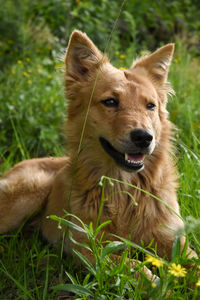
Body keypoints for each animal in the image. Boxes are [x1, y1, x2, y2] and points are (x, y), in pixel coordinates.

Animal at [0, 29, 197, 278]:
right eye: (110, 102)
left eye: (150, 106)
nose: (144, 137)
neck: (125, 191)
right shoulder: (91, 249)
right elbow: (134, 267)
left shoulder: (173, 240)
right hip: (31, 189)